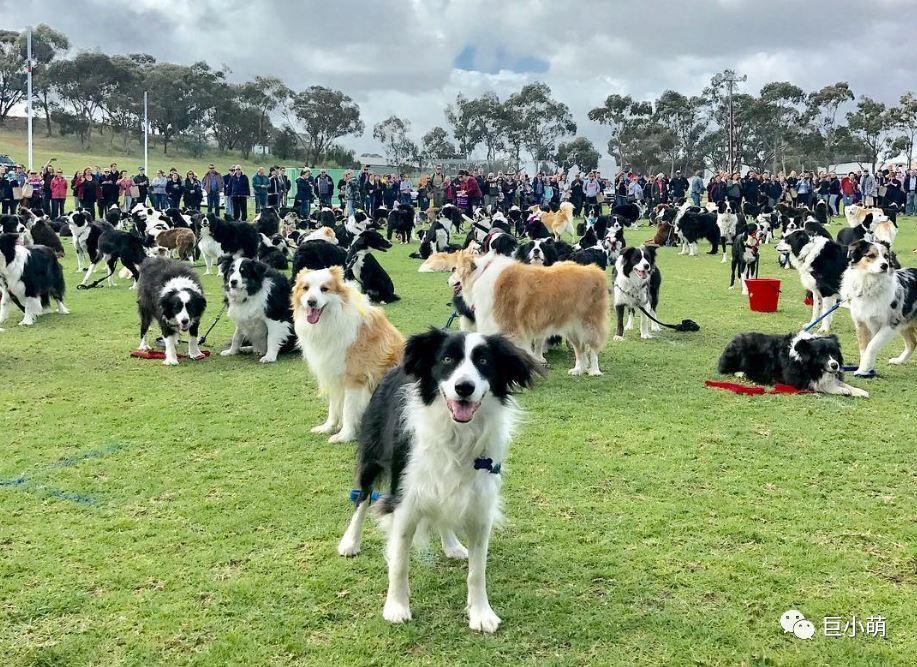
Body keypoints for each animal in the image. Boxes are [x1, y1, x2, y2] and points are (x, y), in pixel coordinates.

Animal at [292, 266, 402, 444]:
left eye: (324, 289)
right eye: (305, 288)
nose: (311, 302)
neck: (331, 320)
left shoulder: (354, 377)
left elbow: (348, 409)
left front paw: (345, 435)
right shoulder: (333, 373)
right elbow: (333, 407)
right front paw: (328, 427)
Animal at [334, 332, 536, 636]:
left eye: (484, 361)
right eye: (447, 359)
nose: (464, 387)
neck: (457, 434)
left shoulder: (480, 504)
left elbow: (477, 571)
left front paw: (481, 613)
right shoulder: (405, 500)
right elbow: (399, 562)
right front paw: (396, 607)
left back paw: (452, 546)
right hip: (372, 453)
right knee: (363, 497)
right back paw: (350, 541)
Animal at [450, 252, 608, 376]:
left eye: (456, 270)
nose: (448, 281)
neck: (481, 273)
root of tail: (595, 270)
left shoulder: (511, 328)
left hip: (588, 325)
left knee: (593, 349)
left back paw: (594, 371)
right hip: (571, 327)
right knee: (580, 350)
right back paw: (579, 369)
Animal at [836, 239, 916, 376]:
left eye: (886, 256)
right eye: (871, 255)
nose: (885, 265)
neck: (870, 284)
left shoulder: (890, 323)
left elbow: (872, 346)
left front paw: (864, 368)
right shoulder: (861, 322)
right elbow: (864, 348)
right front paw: (865, 368)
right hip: (905, 321)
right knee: (912, 343)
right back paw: (899, 360)